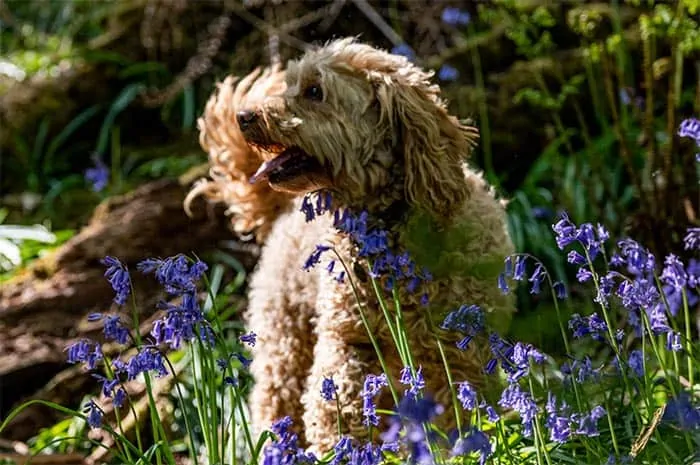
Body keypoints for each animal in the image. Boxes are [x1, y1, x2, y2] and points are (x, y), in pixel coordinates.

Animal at [186, 38, 516, 452]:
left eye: (315, 91)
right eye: (291, 84)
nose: (244, 116)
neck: (392, 225)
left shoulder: (459, 352)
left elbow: (460, 410)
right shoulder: (349, 342)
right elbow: (336, 405)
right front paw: (338, 449)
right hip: (285, 339)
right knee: (275, 399)